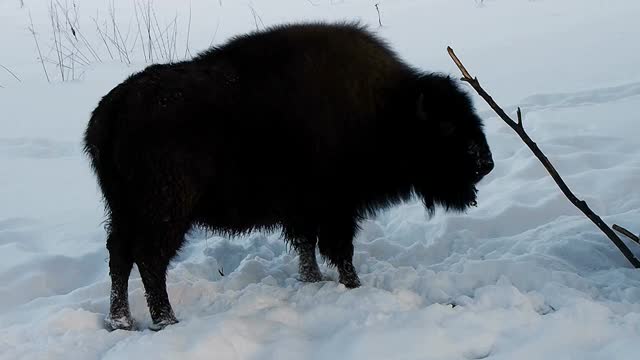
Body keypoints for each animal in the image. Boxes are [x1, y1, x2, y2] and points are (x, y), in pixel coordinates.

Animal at [85, 23, 496, 332]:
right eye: (446, 126)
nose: (486, 163)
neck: (386, 109)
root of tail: (113, 110)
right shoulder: (336, 208)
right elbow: (339, 250)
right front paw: (353, 285)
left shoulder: (306, 211)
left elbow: (306, 245)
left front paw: (313, 280)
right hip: (166, 213)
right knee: (150, 259)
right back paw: (166, 320)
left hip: (124, 210)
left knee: (119, 255)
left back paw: (122, 321)